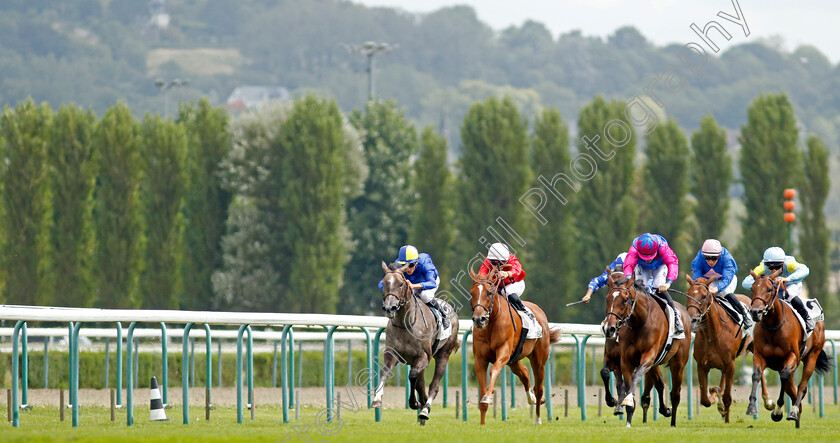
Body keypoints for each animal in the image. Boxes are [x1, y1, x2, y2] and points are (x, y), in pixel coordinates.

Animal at [372, 262, 462, 424]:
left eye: (401, 284)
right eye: (384, 283)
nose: (389, 307)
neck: (405, 323)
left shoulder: (423, 356)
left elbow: (412, 376)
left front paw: (414, 403)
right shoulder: (392, 353)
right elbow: (384, 371)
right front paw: (376, 399)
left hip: (443, 355)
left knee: (434, 385)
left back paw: (425, 410)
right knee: (422, 386)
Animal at [470, 266, 560, 424]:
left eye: (489, 292)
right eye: (471, 293)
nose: (479, 319)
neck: (491, 323)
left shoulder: (503, 352)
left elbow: (494, 370)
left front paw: (488, 396)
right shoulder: (480, 359)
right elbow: (482, 392)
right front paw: (482, 423)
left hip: (539, 360)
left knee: (538, 388)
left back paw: (537, 418)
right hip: (514, 360)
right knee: (525, 373)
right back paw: (532, 399)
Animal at [600, 276, 692, 428]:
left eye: (625, 300)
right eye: (607, 298)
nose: (609, 328)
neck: (639, 323)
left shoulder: (648, 356)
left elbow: (636, 376)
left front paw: (626, 401)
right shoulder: (623, 360)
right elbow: (616, 378)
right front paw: (627, 415)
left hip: (678, 363)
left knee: (675, 394)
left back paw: (673, 421)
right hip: (654, 365)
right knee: (659, 384)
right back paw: (665, 410)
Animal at [684, 274, 756, 424]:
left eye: (704, 296)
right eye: (688, 294)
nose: (692, 319)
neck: (713, 334)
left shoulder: (731, 365)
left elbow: (727, 397)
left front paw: (726, 418)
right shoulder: (702, 366)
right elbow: (705, 399)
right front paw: (714, 394)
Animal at [744, 268, 832, 428]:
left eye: (769, 289)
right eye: (752, 288)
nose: (755, 312)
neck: (773, 327)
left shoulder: (793, 357)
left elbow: (784, 377)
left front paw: (778, 411)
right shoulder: (759, 356)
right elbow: (756, 376)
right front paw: (752, 407)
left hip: (812, 355)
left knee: (802, 386)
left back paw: (794, 411)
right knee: (792, 389)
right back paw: (797, 416)